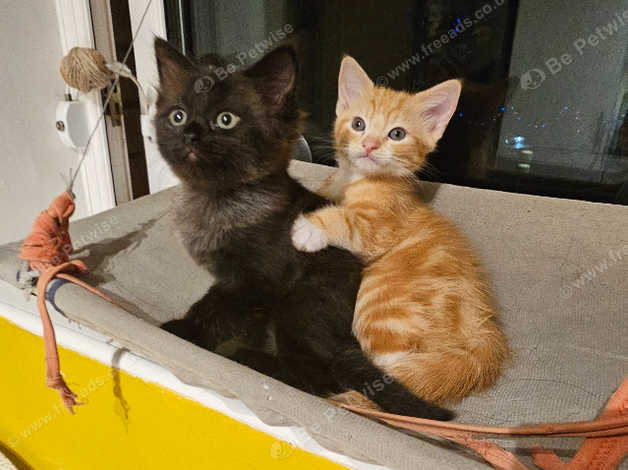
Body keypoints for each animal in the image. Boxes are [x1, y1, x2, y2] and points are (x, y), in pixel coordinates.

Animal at [155, 38, 454, 420]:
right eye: (177, 116)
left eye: (225, 120)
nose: (190, 134)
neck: (220, 200)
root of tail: (347, 342)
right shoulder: (243, 290)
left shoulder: (258, 280)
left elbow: (216, 309)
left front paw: (183, 330)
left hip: (299, 303)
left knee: (319, 377)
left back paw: (251, 360)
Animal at [292, 57, 508, 402]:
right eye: (358, 124)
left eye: (397, 133)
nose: (369, 145)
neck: (356, 178)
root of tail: (483, 332)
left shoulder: (377, 230)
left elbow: (345, 221)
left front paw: (309, 228)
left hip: (383, 303)